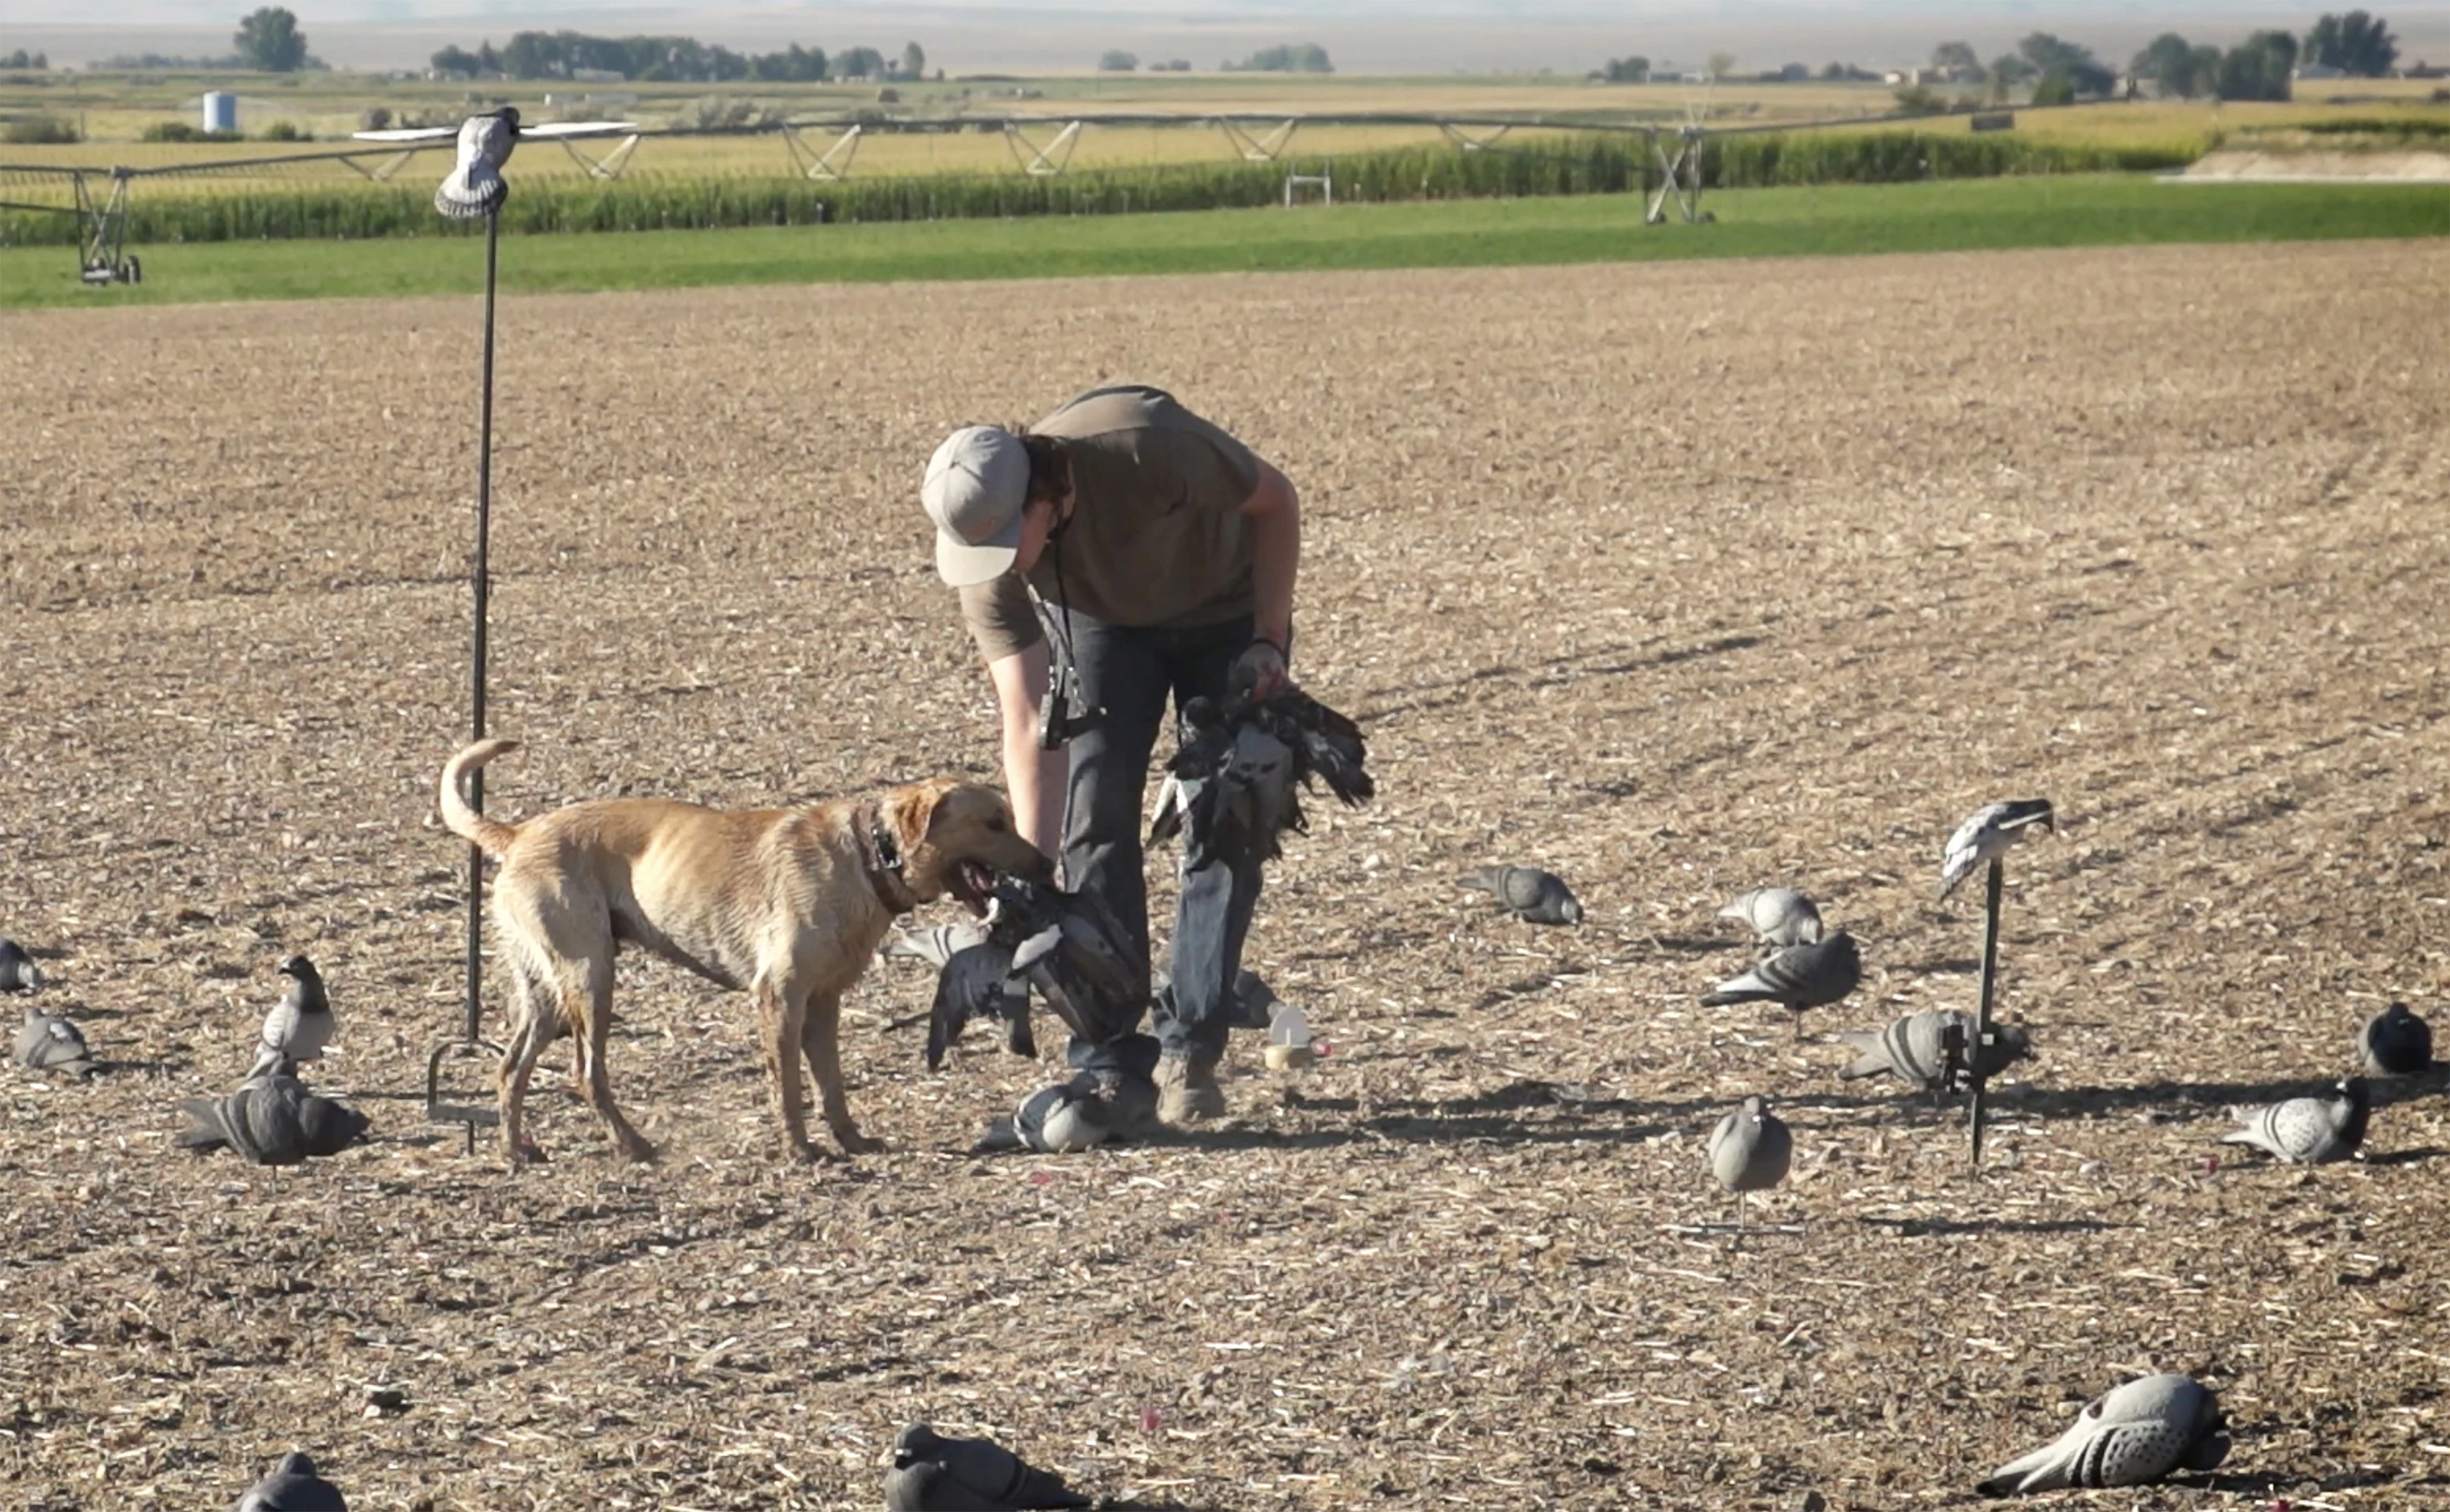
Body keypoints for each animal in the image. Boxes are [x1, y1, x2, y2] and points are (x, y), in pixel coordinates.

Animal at [436, 744, 1048, 1166]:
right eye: (992, 823)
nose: (1045, 862)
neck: (870, 857)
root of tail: (517, 834)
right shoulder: (780, 997)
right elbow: (791, 1087)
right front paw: (801, 1151)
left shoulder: (824, 1004)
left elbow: (831, 1085)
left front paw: (851, 1140)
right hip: (591, 978)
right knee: (586, 1073)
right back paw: (633, 1145)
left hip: (545, 993)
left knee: (510, 1068)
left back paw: (516, 1152)